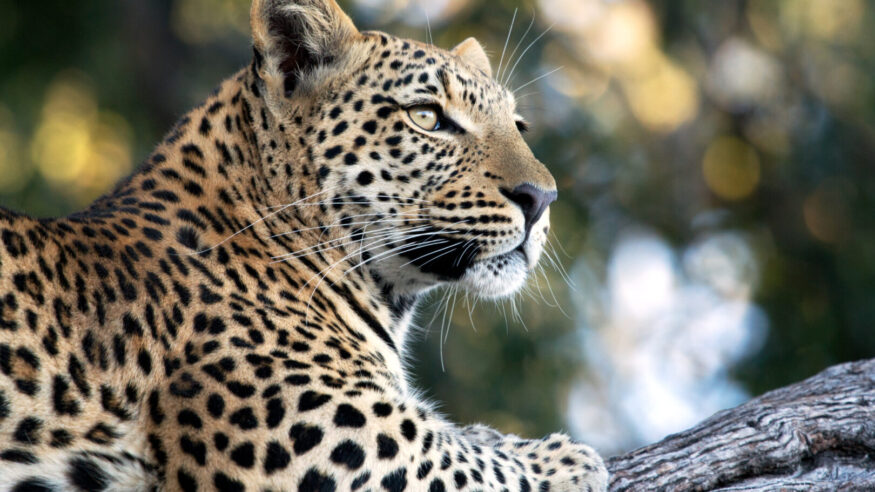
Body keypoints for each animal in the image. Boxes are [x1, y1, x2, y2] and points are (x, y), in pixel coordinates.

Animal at [0, 1, 608, 490]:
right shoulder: (338, 445)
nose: (542, 197)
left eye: (518, 125)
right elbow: (460, 459)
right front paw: (565, 461)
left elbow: (460, 433)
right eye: (427, 117)